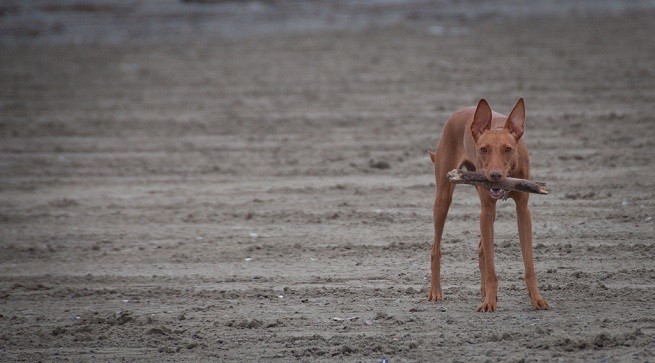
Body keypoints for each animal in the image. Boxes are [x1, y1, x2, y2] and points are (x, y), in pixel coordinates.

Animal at [428, 99, 552, 312]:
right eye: (483, 149)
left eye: (508, 149)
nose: (495, 175)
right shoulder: (486, 211)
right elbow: (491, 268)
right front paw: (489, 303)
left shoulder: (523, 211)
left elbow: (529, 264)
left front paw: (536, 298)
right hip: (443, 199)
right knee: (436, 248)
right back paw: (436, 292)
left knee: (481, 250)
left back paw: (484, 292)